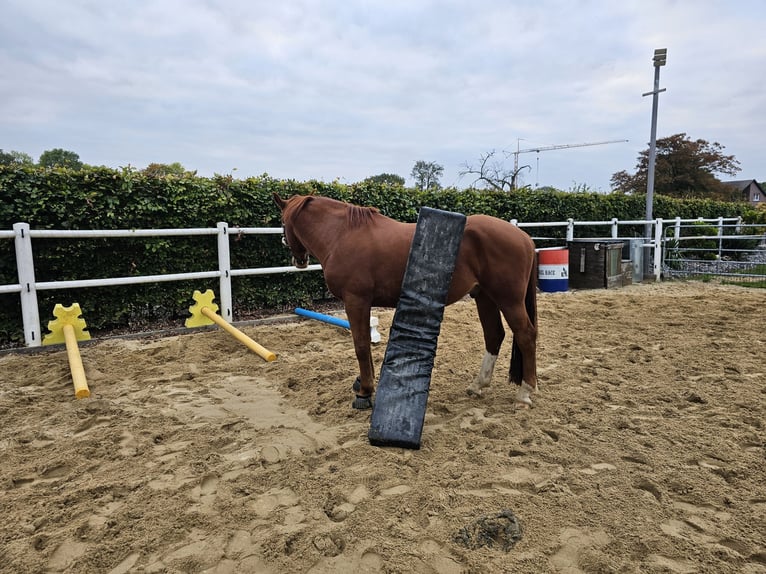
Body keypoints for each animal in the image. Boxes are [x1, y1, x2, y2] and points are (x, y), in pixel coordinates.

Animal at [273, 193, 539, 410]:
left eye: (283, 223)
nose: (298, 259)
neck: (343, 234)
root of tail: (524, 237)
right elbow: (366, 344)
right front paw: (365, 383)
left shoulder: (355, 300)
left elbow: (361, 346)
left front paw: (365, 392)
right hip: (484, 297)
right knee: (494, 335)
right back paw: (478, 385)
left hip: (508, 299)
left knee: (525, 334)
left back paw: (525, 393)